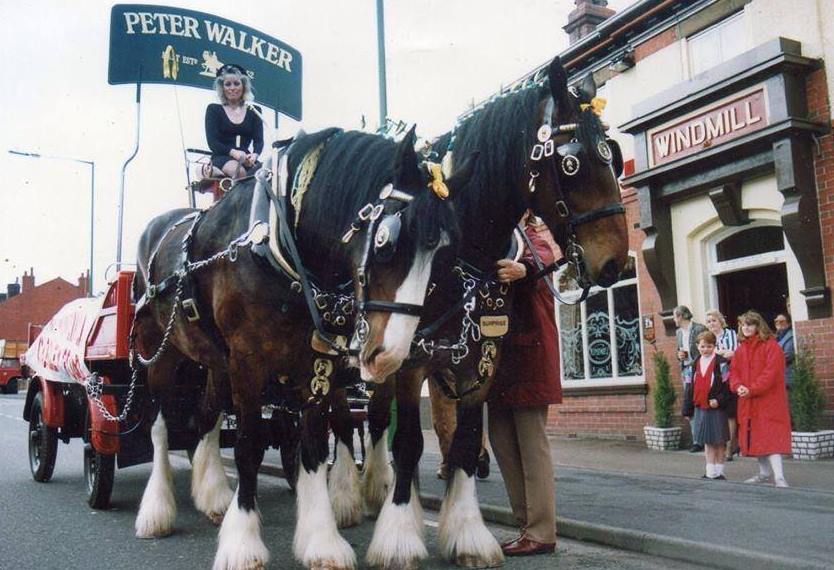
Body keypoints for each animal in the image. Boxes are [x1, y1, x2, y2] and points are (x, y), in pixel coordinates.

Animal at [133, 125, 478, 568]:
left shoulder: (314, 361)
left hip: (215, 363)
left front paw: (321, 540)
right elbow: (248, 446)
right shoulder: (248, 360)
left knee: (206, 416)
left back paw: (212, 496)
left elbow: (313, 445)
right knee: (160, 427)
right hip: (162, 353)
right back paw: (156, 511)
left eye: (447, 257)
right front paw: (242, 542)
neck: (278, 241)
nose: (389, 356)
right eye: (386, 242)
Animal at [352, 54, 632, 568]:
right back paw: (368, 492)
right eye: (572, 163)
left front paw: (466, 534)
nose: (613, 264)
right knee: (372, 422)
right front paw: (399, 535)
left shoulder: (481, 361)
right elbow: (408, 441)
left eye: (614, 157)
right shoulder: (409, 362)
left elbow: (464, 442)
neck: (460, 257)